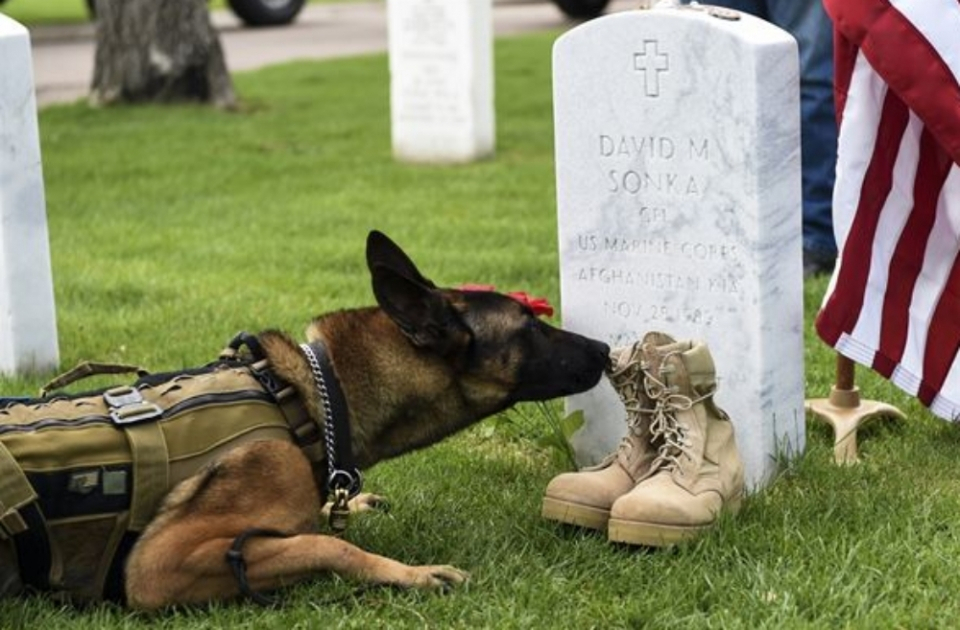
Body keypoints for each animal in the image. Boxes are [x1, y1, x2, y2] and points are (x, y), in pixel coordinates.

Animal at [1, 233, 608, 612]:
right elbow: (326, 545)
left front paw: (355, 506)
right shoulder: (157, 567)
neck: (311, 402)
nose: (605, 349)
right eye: (530, 326)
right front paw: (412, 572)